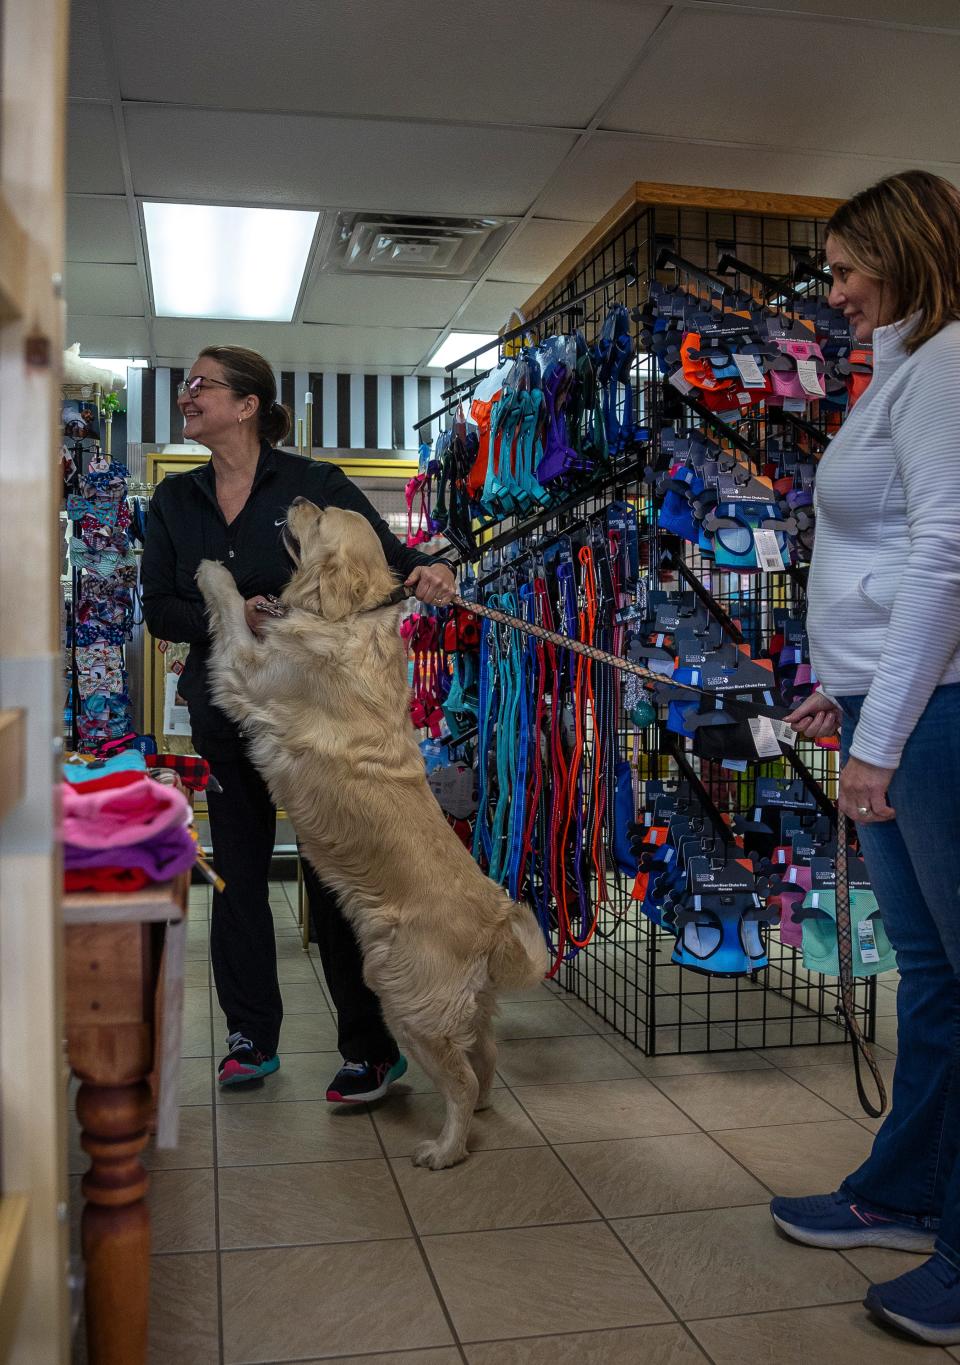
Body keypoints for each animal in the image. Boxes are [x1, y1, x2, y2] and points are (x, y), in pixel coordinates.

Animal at [196, 507, 548, 1168]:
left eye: (319, 516)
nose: (293, 499)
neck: (345, 619)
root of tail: (495, 923)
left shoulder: (249, 676)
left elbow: (231, 615)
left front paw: (213, 572)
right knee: (485, 1055)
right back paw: (479, 1116)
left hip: (404, 996)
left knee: (461, 1076)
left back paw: (445, 1149)